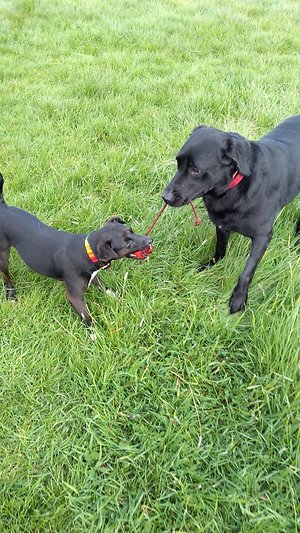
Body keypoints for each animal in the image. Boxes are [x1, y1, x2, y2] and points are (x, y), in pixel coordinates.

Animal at [0, 174, 151, 324]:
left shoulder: (93, 275)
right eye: (127, 244)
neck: (87, 251)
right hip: (3, 256)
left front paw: (114, 296)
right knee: (6, 275)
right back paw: (11, 294)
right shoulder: (75, 297)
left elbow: (102, 286)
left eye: (131, 230)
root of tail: (3, 208)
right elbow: (88, 318)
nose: (150, 240)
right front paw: (95, 330)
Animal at [163, 112, 300, 312]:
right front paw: (210, 265)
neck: (234, 186)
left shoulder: (263, 236)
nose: (165, 197)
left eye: (196, 170)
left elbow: (246, 272)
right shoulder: (221, 225)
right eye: (178, 163)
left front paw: (238, 299)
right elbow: (220, 250)